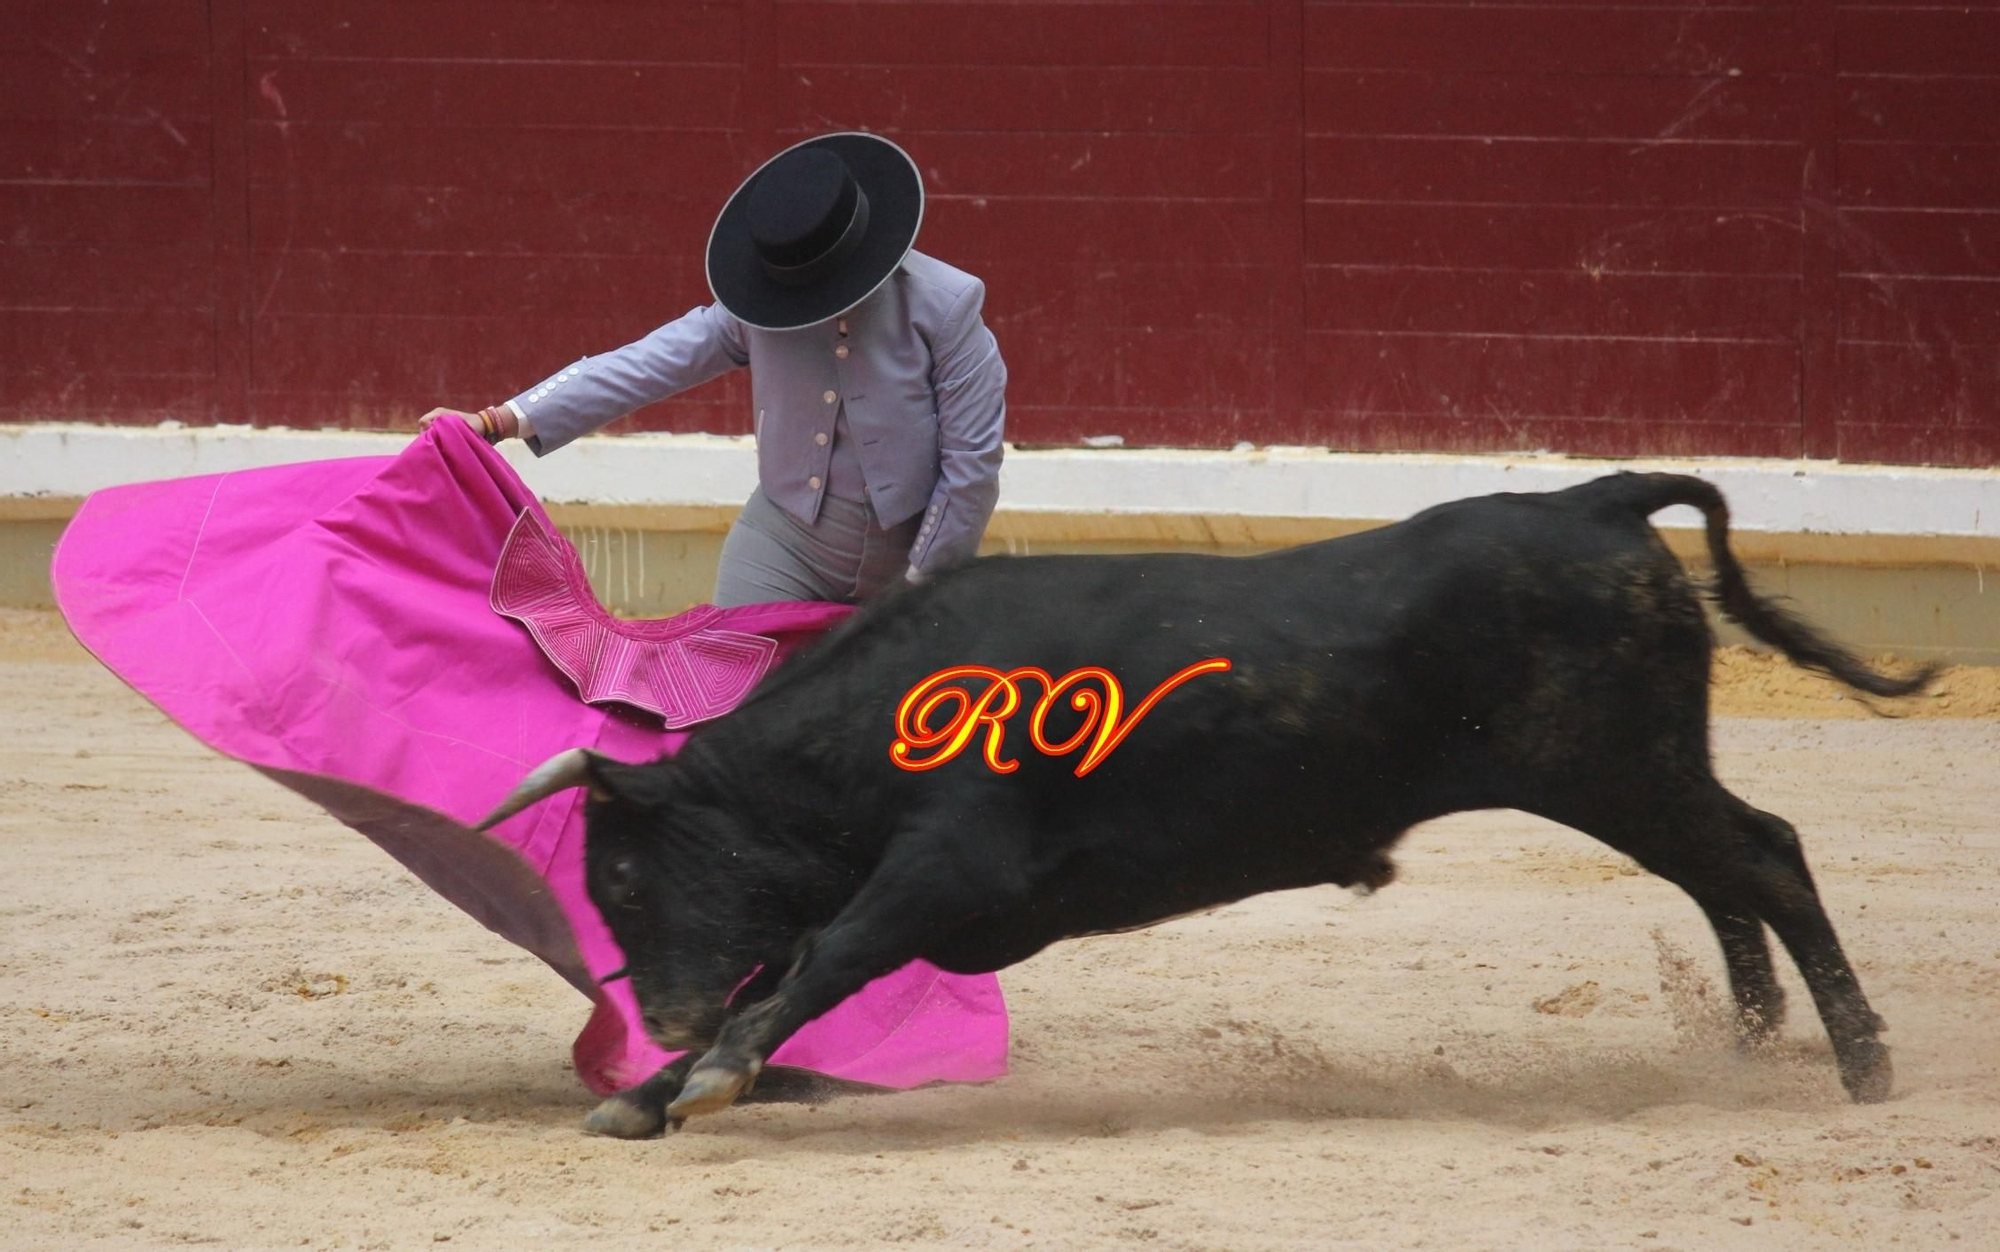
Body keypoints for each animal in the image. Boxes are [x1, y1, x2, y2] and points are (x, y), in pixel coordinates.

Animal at [479, 472, 1933, 1138]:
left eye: (622, 877)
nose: (658, 1011)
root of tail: (1598, 495)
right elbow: (786, 970)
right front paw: (652, 1090)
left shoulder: (949, 871)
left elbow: (822, 961)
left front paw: (705, 1073)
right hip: (1634, 773)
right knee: (1726, 874)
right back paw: (1744, 1049)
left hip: (1619, 770)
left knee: (1764, 860)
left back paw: (1863, 1065)